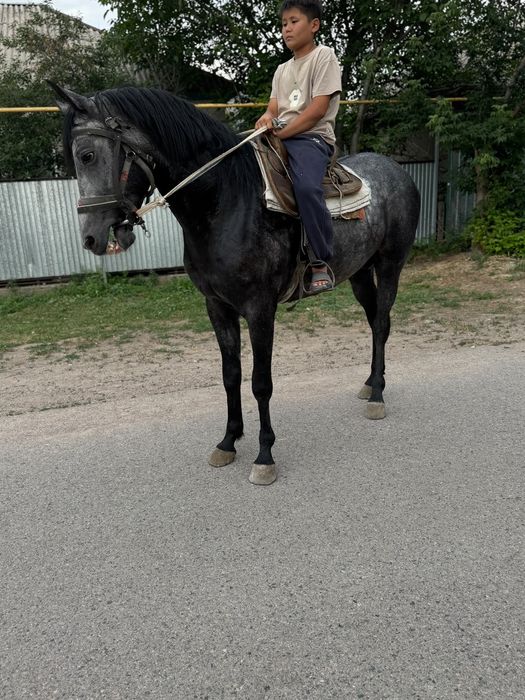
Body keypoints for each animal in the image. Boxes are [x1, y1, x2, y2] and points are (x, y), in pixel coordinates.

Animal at [50, 83, 420, 485]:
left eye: (87, 155)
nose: (91, 238)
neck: (225, 203)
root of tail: (396, 170)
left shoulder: (260, 309)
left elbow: (261, 382)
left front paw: (264, 455)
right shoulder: (217, 306)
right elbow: (231, 375)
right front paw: (228, 442)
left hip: (390, 264)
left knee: (381, 322)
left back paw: (378, 397)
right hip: (359, 272)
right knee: (374, 321)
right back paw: (370, 383)